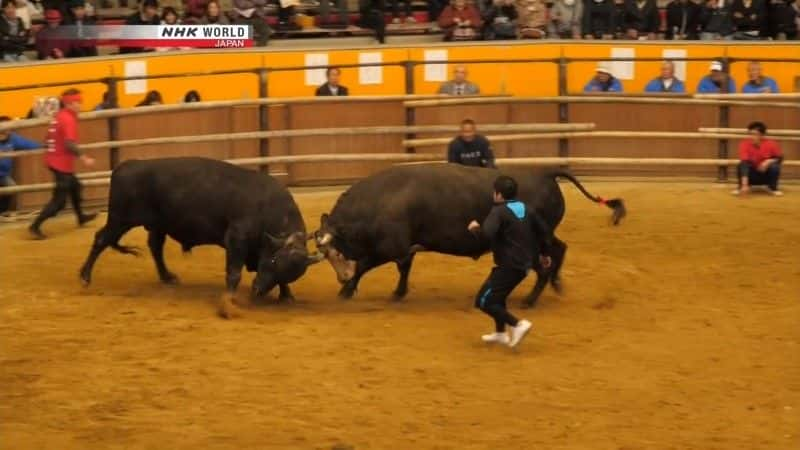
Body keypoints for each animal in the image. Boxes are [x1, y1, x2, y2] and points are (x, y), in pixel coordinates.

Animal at [77, 157, 322, 316]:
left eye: (284, 271)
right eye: (271, 261)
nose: (257, 291)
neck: (268, 209)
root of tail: (125, 165)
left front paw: (286, 295)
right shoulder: (236, 239)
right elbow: (234, 273)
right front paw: (229, 303)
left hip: (157, 225)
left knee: (155, 246)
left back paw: (167, 276)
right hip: (120, 219)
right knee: (101, 239)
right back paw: (85, 277)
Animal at [312, 165, 624, 310]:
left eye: (335, 252)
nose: (340, 277)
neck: (380, 199)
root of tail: (544, 172)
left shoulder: (390, 246)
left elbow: (365, 265)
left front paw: (347, 289)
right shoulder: (405, 248)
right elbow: (404, 269)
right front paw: (397, 293)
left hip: (535, 243)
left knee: (545, 264)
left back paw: (530, 299)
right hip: (546, 235)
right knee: (558, 250)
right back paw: (556, 285)